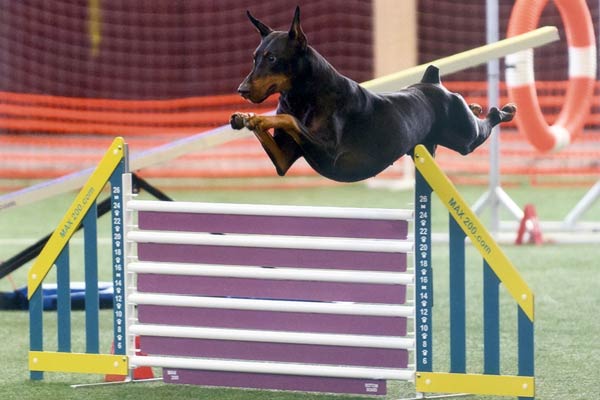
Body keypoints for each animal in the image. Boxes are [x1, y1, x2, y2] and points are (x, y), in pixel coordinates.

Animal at [231, 7, 516, 183]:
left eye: (272, 58)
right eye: (254, 57)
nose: (242, 90)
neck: (302, 98)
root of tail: (431, 82)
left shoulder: (330, 152)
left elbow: (291, 120)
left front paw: (259, 118)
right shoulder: (283, 160)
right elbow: (281, 144)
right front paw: (247, 117)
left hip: (464, 137)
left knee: (484, 126)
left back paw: (503, 110)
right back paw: (476, 106)